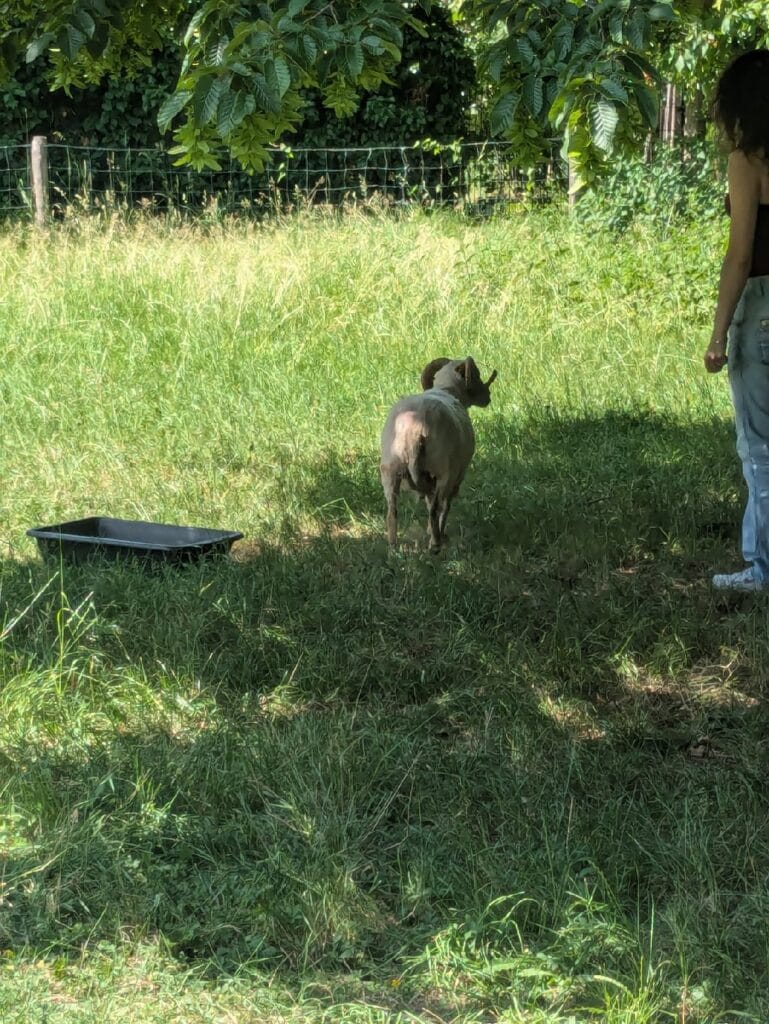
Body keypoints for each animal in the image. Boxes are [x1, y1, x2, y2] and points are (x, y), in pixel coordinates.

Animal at [379, 356, 497, 552]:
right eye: (477, 375)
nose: (487, 397)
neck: (446, 389)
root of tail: (414, 430)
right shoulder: (457, 475)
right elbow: (446, 506)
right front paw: (439, 533)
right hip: (442, 471)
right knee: (436, 508)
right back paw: (435, 543)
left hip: (389, 471)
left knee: (392, 511)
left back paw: (393, 547)